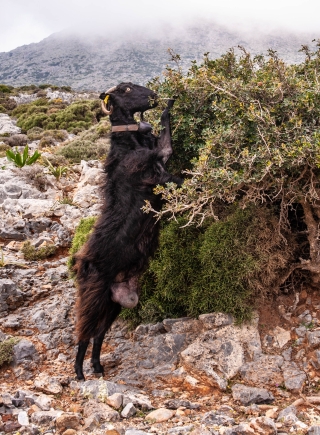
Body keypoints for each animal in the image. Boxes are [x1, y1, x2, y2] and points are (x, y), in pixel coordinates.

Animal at [73, 82, 181, 382]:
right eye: (127, 89)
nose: (154, 95)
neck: (129, 142)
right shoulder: (157, 170)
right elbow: (175, 164)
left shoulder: (162, 162)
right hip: (94, 296)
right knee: (84, 332)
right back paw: (79, 373)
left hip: (114, 303)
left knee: (98, 334)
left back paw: (97, 367)